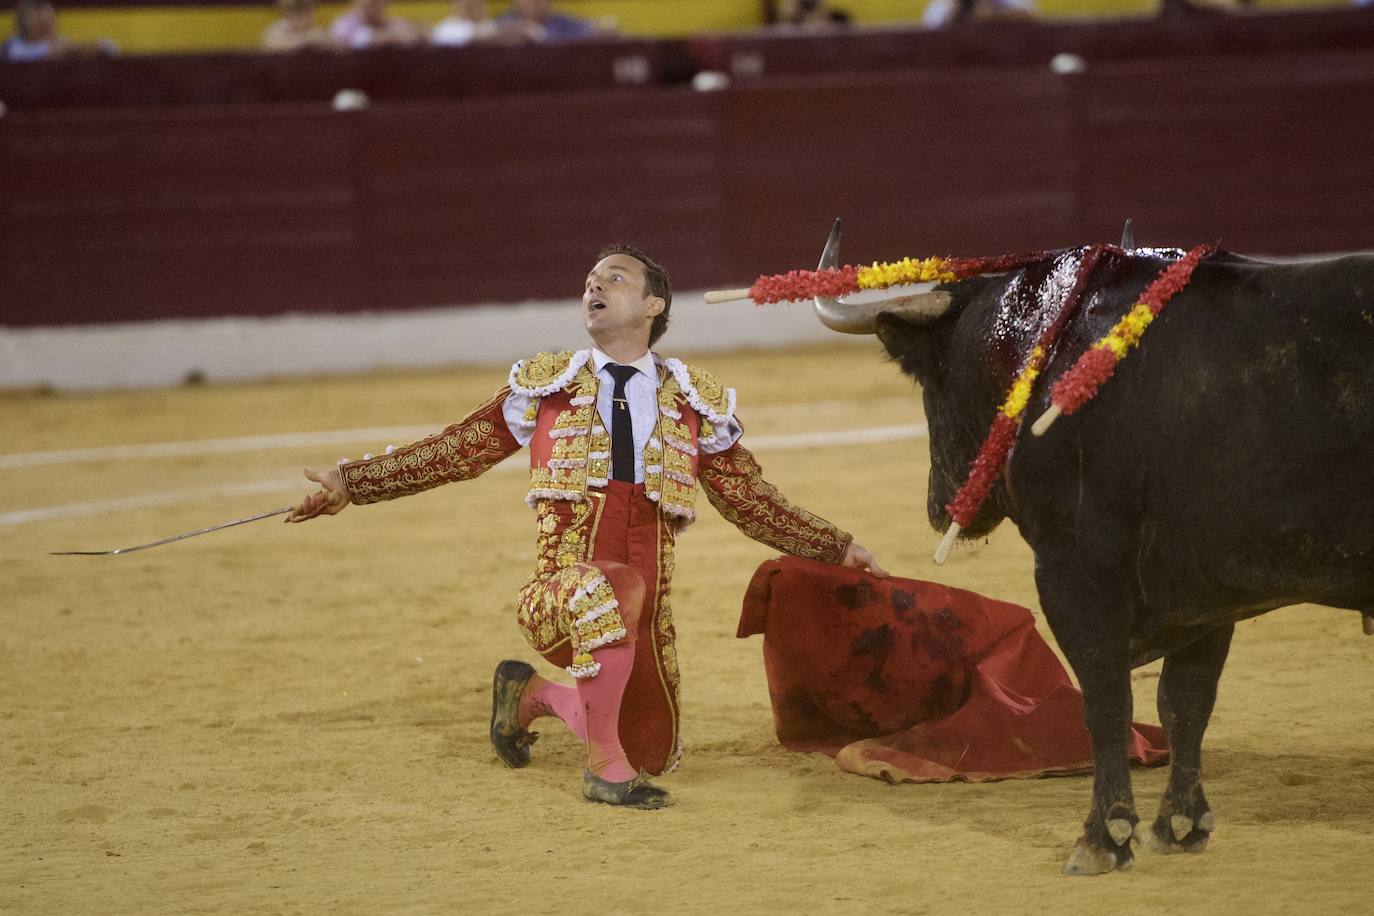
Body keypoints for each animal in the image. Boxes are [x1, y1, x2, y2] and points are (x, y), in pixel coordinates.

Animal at [868, 245, 1374, 873]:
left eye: (929, 380)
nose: (938, 503)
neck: (1044, 348)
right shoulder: (1206, 588)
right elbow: (1185, 701)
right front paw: (1181, 825)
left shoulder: (1074, 572)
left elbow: (1107, 698)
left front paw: (1103, 837)